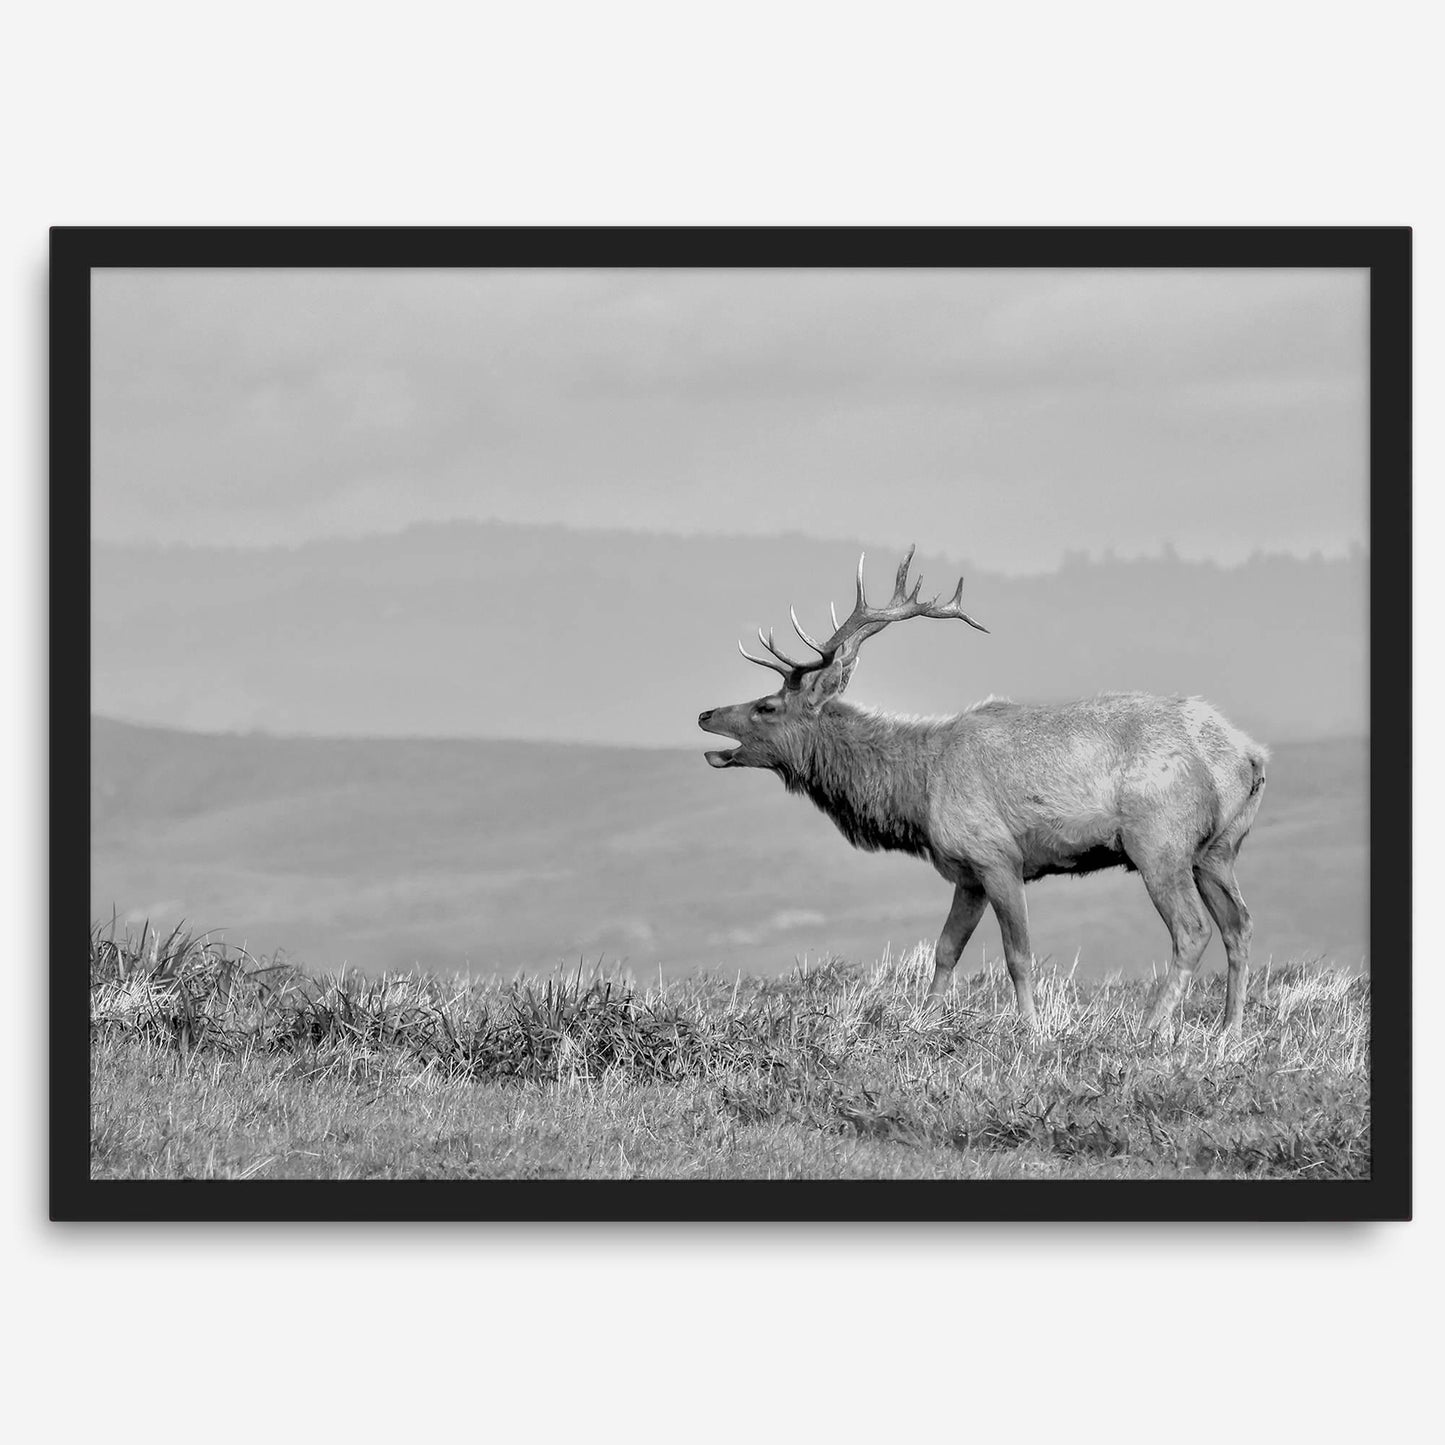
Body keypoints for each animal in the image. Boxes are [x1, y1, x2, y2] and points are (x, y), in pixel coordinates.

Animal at [698, 547, 1268, 1034]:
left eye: (767, 706)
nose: (705, 713)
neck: (917, 792)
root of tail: (1250, 756)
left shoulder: (998, 857)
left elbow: (1018, 955)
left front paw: (1031, 1030)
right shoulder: (966, 872)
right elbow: (945, 950)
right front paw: (924, 1021)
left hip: (1159, 842)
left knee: (1192, 929)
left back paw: (1150, 1028)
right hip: (1217, 850)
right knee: (1238, 925)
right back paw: (1230, 1028)